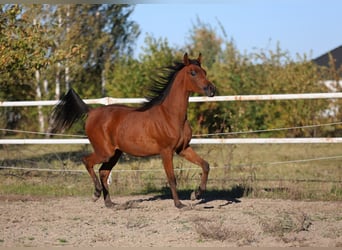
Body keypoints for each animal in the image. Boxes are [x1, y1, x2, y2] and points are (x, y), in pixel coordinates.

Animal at [50, 53, 216, 209]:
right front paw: (179, 204)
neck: (171, 116)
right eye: (193, 72)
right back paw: (96, 193)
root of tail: (91, 112)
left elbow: (205, 165)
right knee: (87, 161)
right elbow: (172, 178)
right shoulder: (166, 151)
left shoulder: (183, 148)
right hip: (105, 152)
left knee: (103, 172)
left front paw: (196, 194)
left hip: (115, 153)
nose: (211, 89)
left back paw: (110, 203)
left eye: (205, 72)